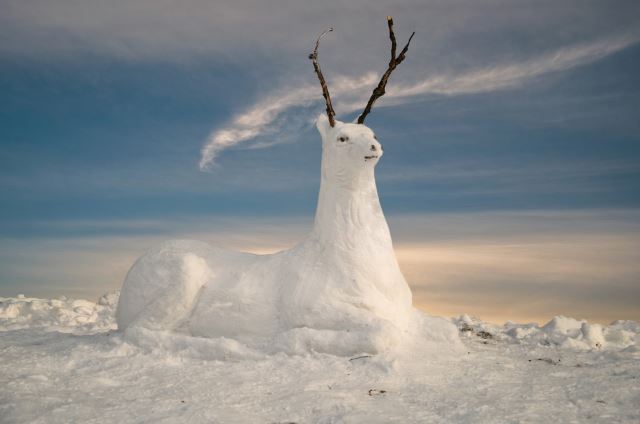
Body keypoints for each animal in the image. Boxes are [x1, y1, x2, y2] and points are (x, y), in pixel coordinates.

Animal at [116, 18, 459, 356]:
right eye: (342, 138)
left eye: (372, 132)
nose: (375, 146)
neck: (357, 256)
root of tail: (124, 291)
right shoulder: (316, 307)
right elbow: (381, 334)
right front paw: (289, 340)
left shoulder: (406, 311)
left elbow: (446, 328)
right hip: (183, 276)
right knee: (140, 331)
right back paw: (228, 344)